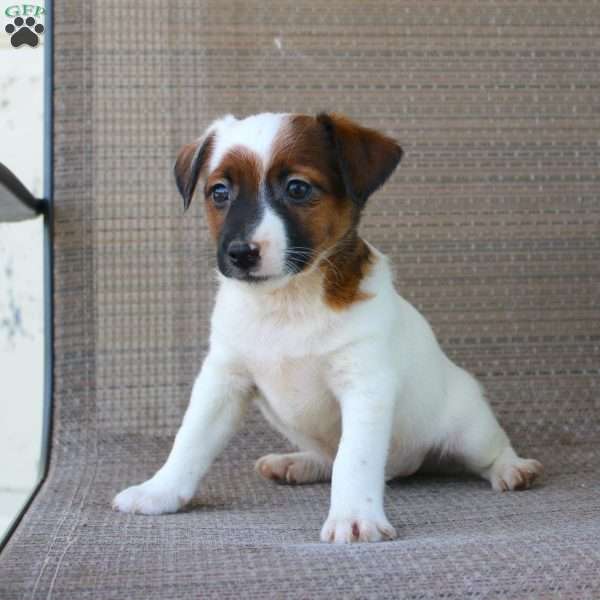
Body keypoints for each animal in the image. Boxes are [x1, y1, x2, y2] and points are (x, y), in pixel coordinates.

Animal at [112, 112, 544, 544]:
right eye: (219, 192)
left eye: (297, 188)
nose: (240, 253)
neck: (287, 300)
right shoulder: (222, 381)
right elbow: (190, 439)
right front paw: (159, 490)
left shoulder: (363, 385)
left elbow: (354, 459)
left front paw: (354, 516)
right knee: (328, 458)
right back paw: (298, 463)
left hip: (469, 429)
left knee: (488, 451)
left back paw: (512, 468)